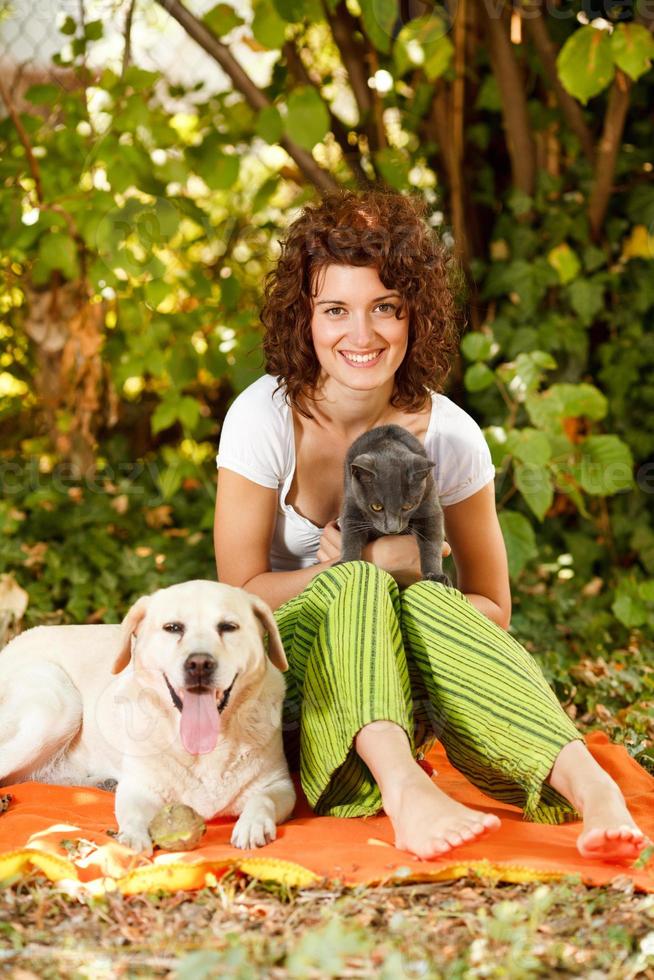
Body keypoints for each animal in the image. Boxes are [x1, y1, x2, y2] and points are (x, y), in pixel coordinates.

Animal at [0, 580, 298, 848]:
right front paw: (132, 838)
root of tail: (13, 643)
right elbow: (133, 815)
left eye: (228, 627)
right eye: (173, 628)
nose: (199, 664)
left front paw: (252, 824)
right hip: (60, 706)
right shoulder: (137, 788)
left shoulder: (280, 785)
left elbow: (263, 800)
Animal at [338, 424, 452, 584]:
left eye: (407, 507)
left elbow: (431, 542)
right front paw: (345, 563)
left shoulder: (429, 504)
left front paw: (435, 575)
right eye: (376, 507)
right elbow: (350, 537)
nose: (392, 529)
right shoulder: (352, 503)